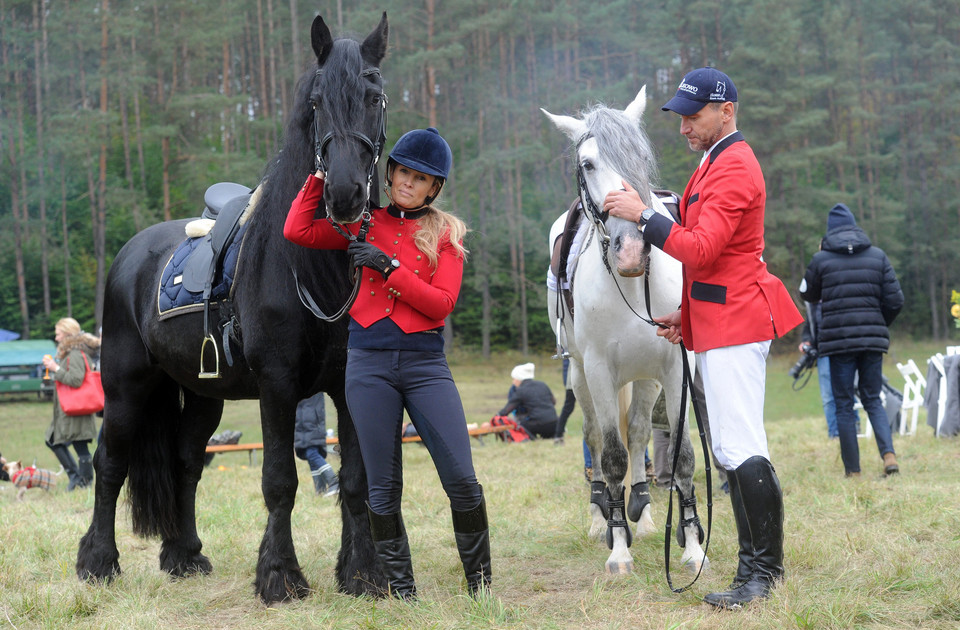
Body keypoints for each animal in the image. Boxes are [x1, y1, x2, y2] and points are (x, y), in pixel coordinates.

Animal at [76, 13, 390, 608]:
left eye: (374, 95)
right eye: (316, 102)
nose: (344, 194)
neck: (307, 263)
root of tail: (131, 254)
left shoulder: (346, 383)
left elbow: (357, 480)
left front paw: (361, 574)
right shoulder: (277, 384)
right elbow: (279, 481)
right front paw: (280, 576)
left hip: (203, 393)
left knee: (185, 462)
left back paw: (184, 555)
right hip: (126, 386)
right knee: (110, 464)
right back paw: (98, 562)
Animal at [544, 87, 708, 576]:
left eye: (640, 156)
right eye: (588, 164)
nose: (633, 248)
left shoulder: (675, 368)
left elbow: (681, 455)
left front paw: (692, 546)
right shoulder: (598, 370)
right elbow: (612, 456)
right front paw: (618, 547)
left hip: (645, 378)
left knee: (637, 433)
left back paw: (645, 513)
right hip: (581, 376)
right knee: (597, 439)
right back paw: (602, 517)